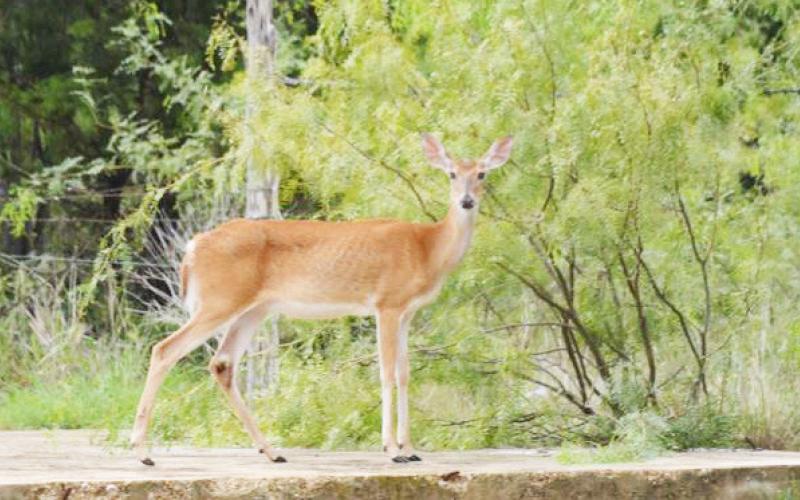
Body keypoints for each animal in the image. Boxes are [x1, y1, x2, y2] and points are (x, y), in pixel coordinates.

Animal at [130, 134, 513, 465]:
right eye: (452, 173)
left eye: (481, 173)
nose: (467, 200)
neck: (428, 249)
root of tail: (192, 248)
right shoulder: (386, 303)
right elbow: (387, 372)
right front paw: (392, 450)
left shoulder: (408, 312)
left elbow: (405, 374)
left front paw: (411, 449)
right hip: (219, 299)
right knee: (165, 349)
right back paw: (143, 452)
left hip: (253, 308)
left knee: (222, 363)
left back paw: (271, 451)